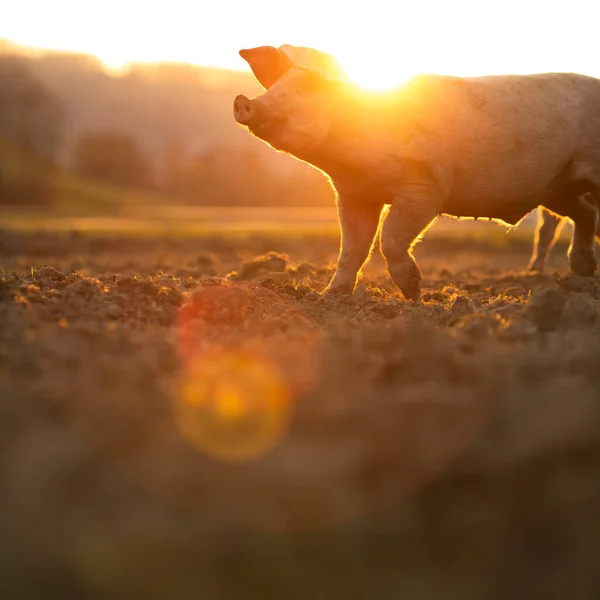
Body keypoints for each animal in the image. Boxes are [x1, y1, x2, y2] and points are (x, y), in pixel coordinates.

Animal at [233, 45, 600, 300]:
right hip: (556, 187)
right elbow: (352, 248)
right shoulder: (353, 195)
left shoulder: (426, 185)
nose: (243, 101)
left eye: (307, 88)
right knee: (584, 213)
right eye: (276, 85)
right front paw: (329, 298)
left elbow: (391, 236)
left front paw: (414, 292)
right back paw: (583, 270)